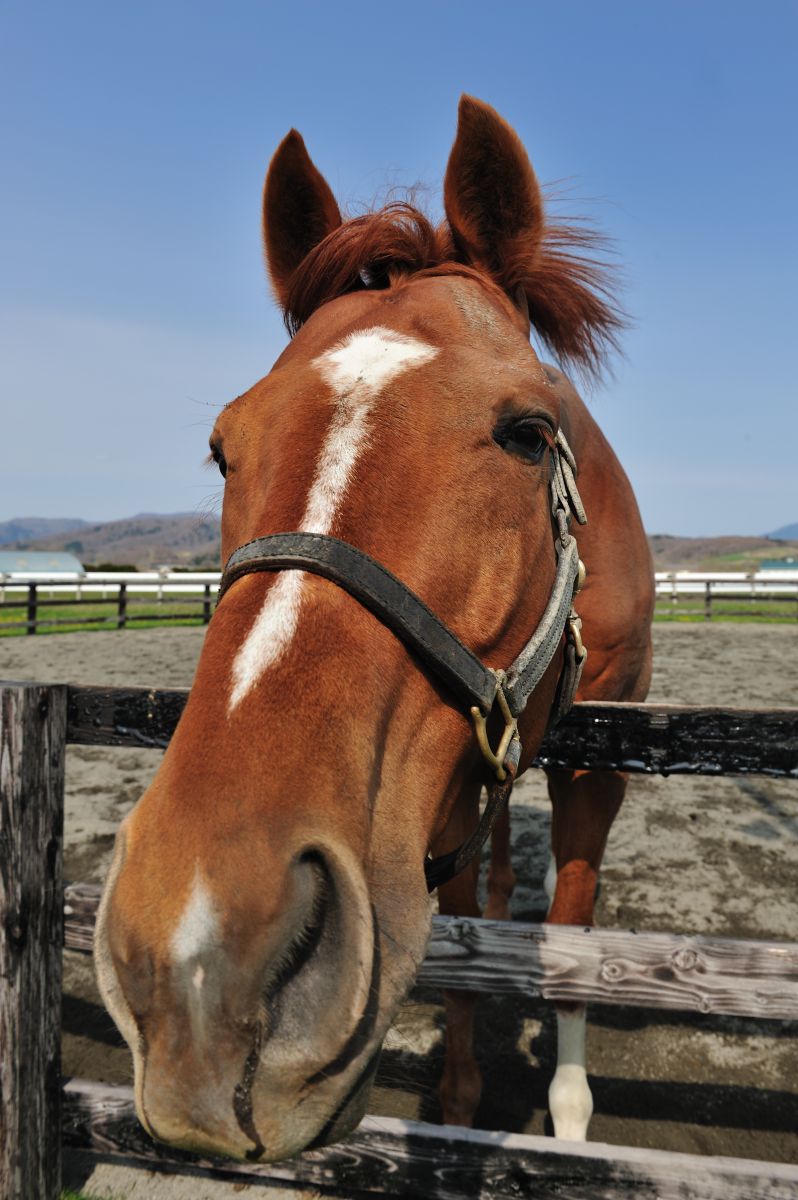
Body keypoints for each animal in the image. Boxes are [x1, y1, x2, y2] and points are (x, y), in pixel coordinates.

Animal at [94, 93, 652, 1161]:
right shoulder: (440, 793)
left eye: (528, 433)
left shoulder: (600, 758)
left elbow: (573, 934)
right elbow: (460, 926)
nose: (197, 954)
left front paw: (569, 1123)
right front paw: (465, 1095)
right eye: (222, 447)